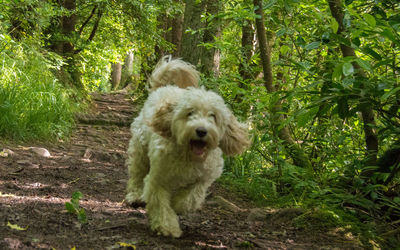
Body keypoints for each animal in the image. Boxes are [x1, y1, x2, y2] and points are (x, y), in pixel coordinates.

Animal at [125, 55, 250, 237]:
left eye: (213, 116)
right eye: (190, 113)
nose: (201, 130)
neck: (188, 156)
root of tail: (164, 88)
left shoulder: (204, 178)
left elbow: (192, 197)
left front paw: (178, 204)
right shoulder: (158, 179)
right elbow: (160, 205)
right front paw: (167, 227)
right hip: (140, 149)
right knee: (137, 173)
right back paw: (134, 195)